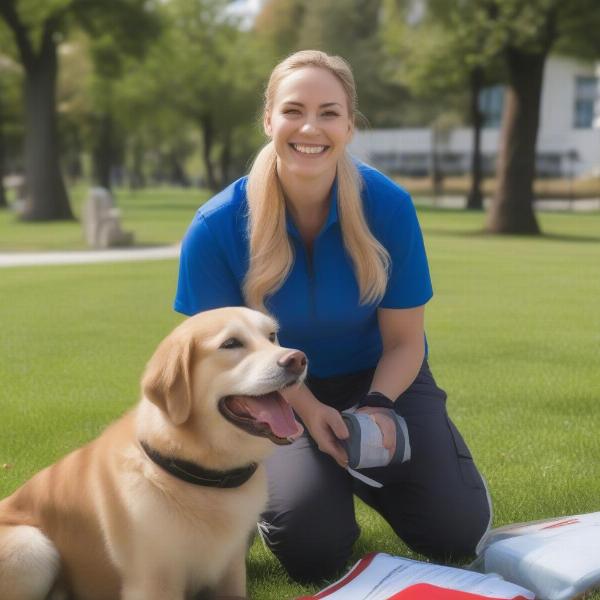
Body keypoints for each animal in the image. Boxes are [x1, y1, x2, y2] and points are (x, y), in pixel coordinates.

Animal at [0, 310, 304, 600]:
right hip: (32, 547)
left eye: (272, 336)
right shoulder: (152, 582)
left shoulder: (230, 570)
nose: (298, 359)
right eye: (230, 344)